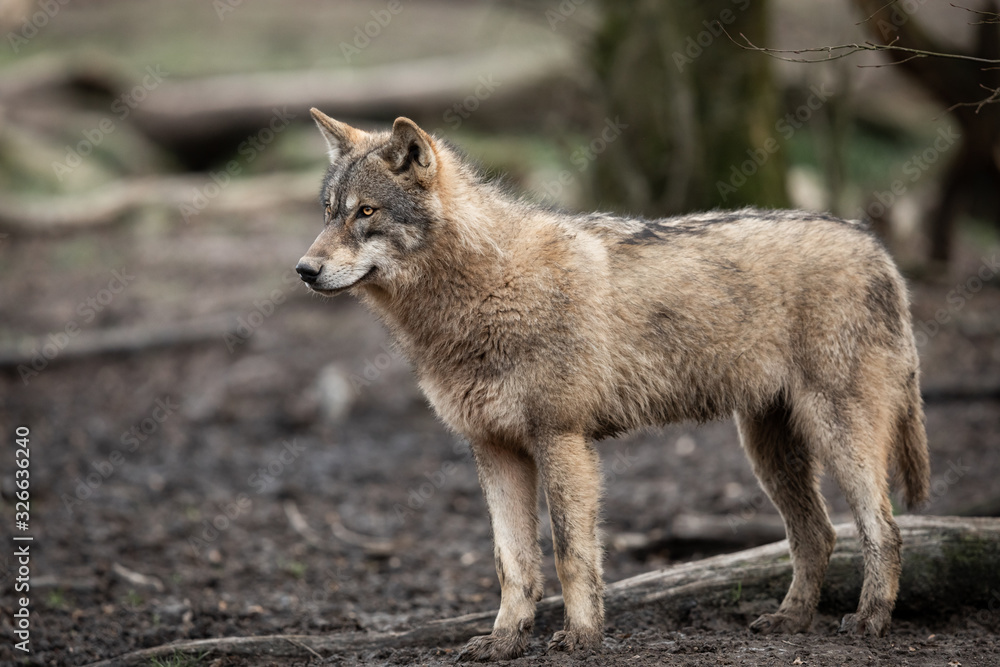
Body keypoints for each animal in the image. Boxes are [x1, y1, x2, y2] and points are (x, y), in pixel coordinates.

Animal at [294, 111, 928, 664]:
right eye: (328, 212)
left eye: (366, 211)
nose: (303, 270)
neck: (486, 287)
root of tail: (875, 245)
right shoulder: (494, 450)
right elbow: (512, 564)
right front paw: (504, 642)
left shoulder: (563, 441)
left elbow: (570, 554)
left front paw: (581, 637)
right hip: (768, 450)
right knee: (817, 535)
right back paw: (791, 621)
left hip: (837, 434)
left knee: (884, 529)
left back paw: (870, 622)